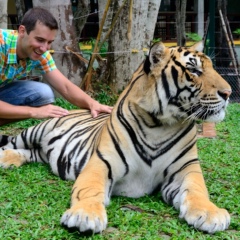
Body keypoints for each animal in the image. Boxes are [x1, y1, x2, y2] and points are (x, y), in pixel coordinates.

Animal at [0, 41, 232, 234]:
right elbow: (90, 189)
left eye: (211, 67)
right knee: (13, 142)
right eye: (193, 70)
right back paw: (4, 157)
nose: (228, 93)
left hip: (43, 151)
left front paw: (211, 213)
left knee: (31, 153)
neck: (158, 126)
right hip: (35, 131)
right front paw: (85, 215)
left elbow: (197, 190)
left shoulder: (186, 169)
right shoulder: (102, 162)